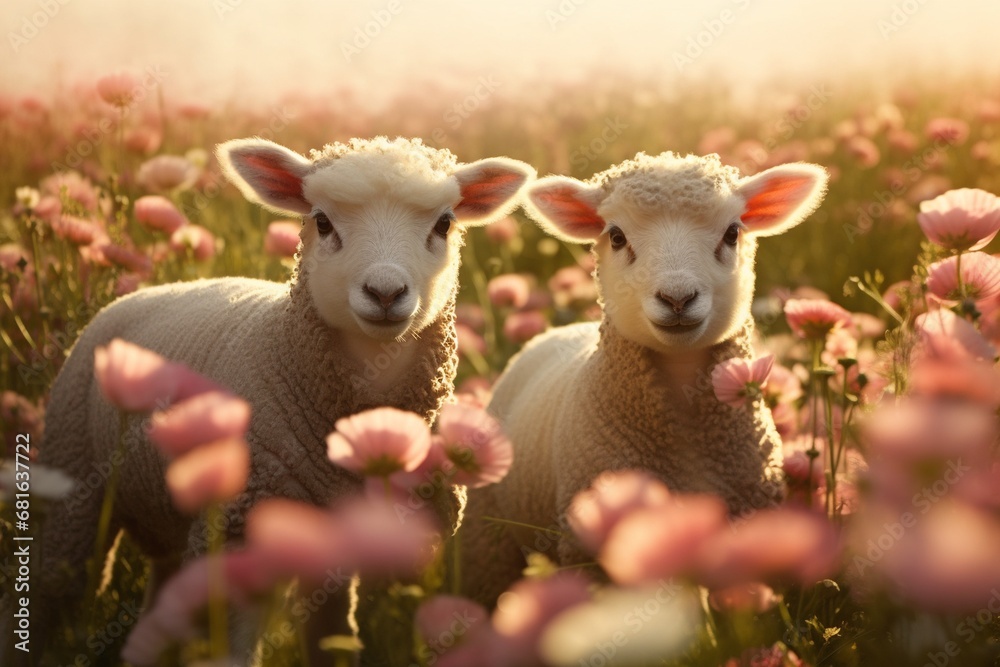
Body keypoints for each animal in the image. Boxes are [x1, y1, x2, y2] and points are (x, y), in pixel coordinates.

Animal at [34, 136, 534, 659]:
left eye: (444, 223)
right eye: (322, 222)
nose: (385, 292)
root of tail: (144, 292)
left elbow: (333, 638)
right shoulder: (237, 540)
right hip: (73, 480)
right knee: (52, 589)